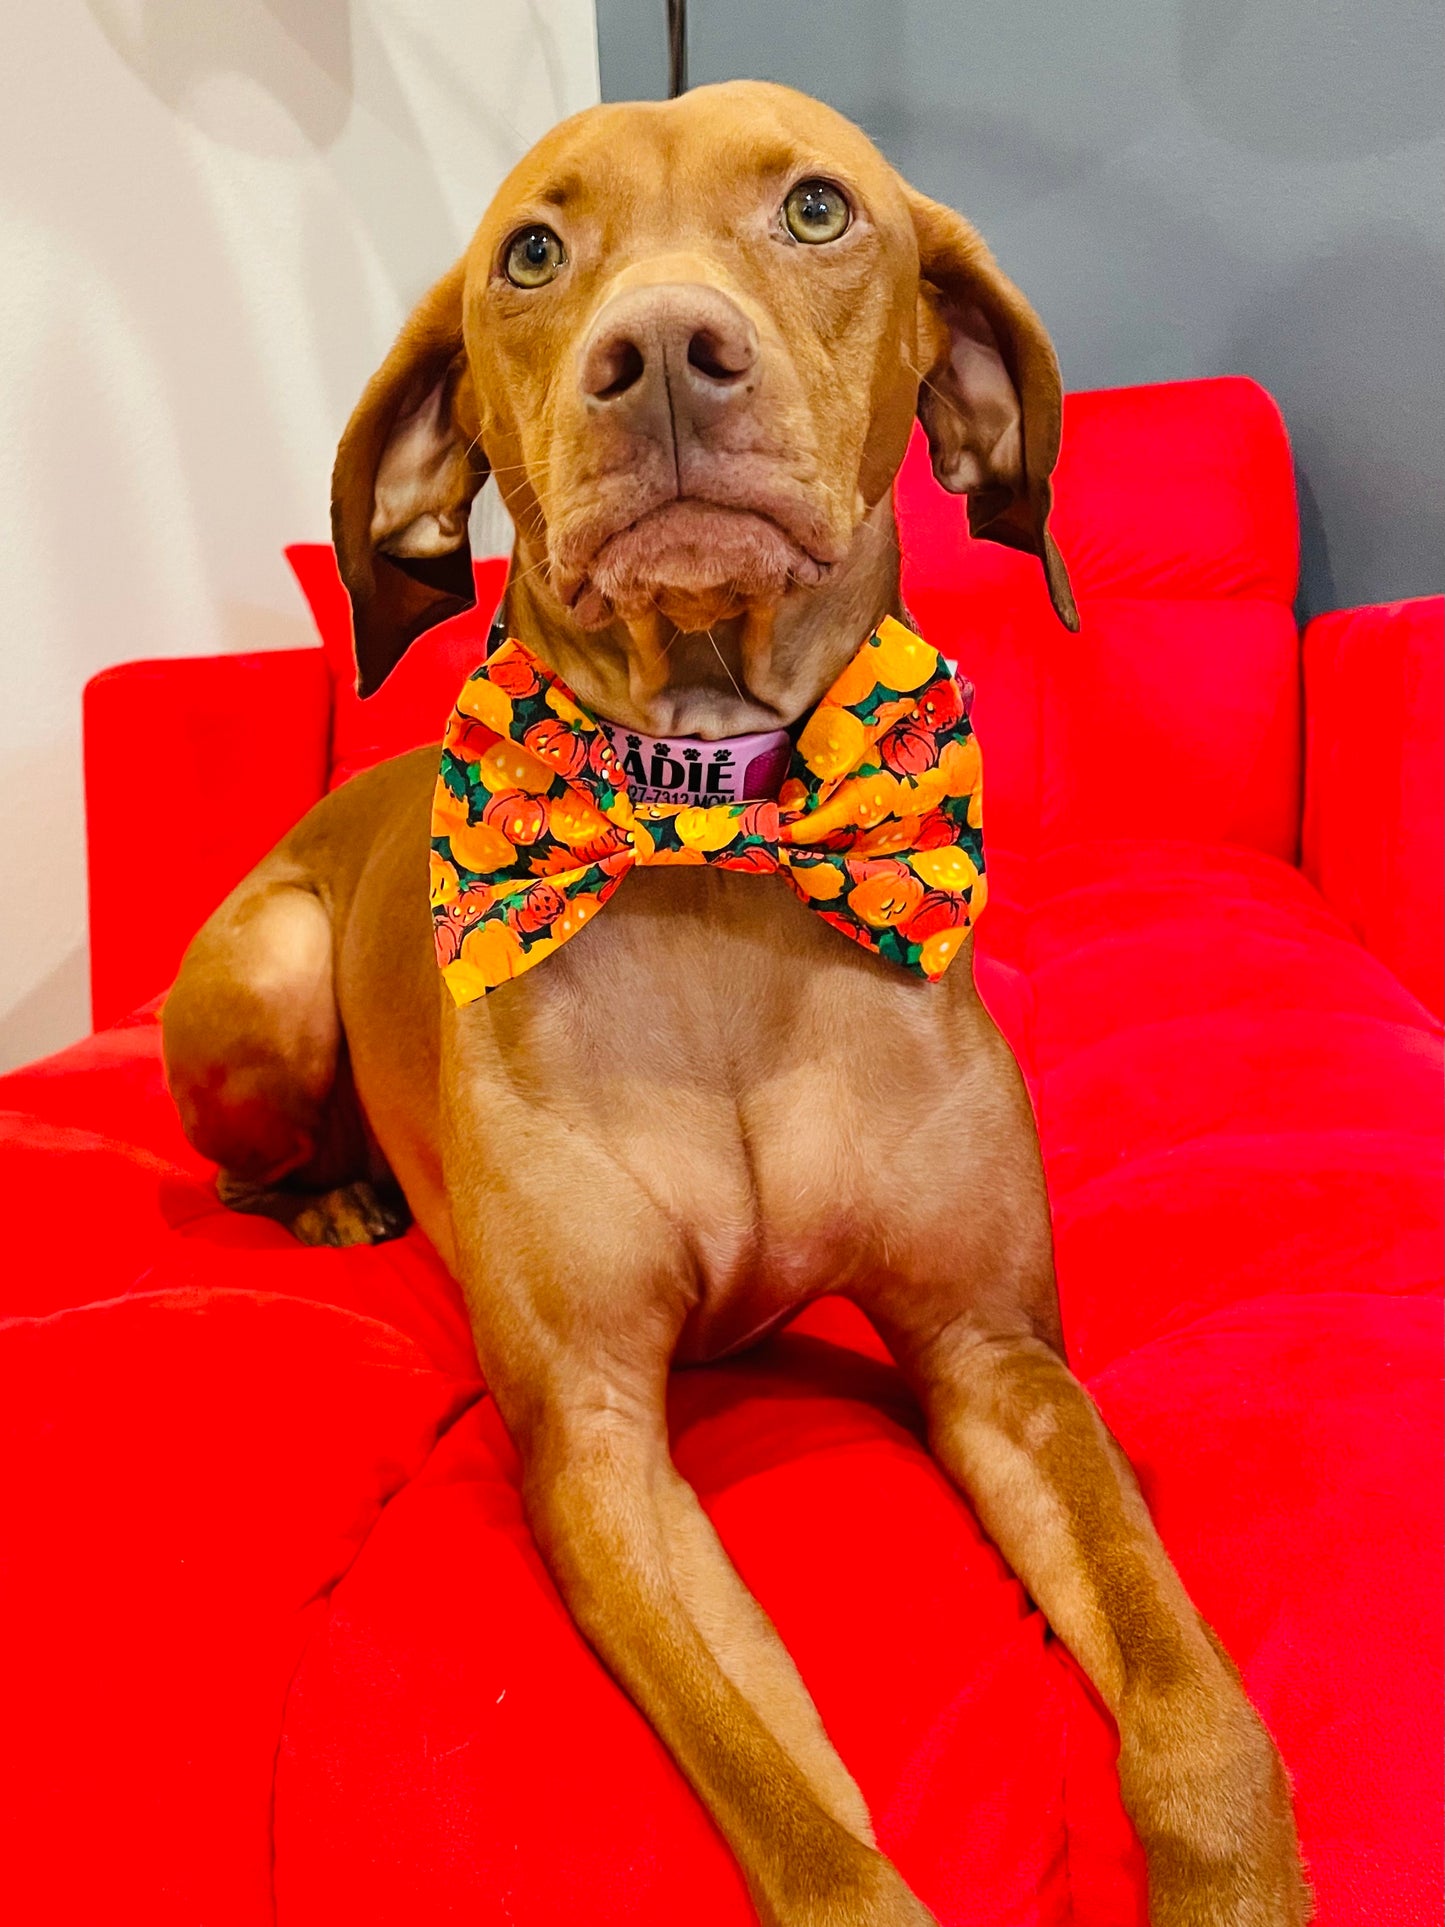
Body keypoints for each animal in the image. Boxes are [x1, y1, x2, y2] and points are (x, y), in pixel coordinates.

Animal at [163, 79, 1317, 1927]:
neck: (708, 832)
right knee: (245, 1154)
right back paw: (333, 1189)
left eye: (818, 209)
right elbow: (802, 1819)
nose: (658, 353)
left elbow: (1189, 1693)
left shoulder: (1000, 1356)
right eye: (532, 253)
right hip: (266, 968)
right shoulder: (598, 1450)